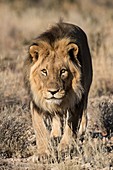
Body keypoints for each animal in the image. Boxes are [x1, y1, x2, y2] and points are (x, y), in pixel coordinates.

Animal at [23, 21, 92, 162]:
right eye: (44, 71)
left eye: (63, 71)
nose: (53, 92)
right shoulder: (36, 103)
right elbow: (40, 128)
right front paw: (43, 153)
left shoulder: (77, 101)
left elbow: (71, 127)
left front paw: (64, 148)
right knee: (56, 116)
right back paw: (55, 135)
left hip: (86, 90)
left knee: (84, 113)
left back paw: (81, 132)